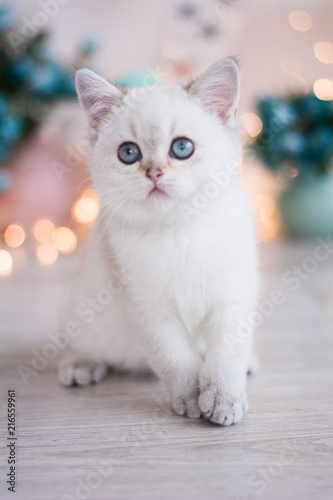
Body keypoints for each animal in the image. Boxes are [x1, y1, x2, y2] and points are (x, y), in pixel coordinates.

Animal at [59, 57, 256, 426]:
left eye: (182, 148)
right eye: (129, 153)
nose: (154, 172)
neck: (178, 229)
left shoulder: (232, 297)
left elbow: (226, 353)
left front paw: (224, 398)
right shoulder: (148, 310)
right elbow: (175, 359)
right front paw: (191, 398)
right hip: (85, 304)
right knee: (81, 339)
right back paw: (81, 364)